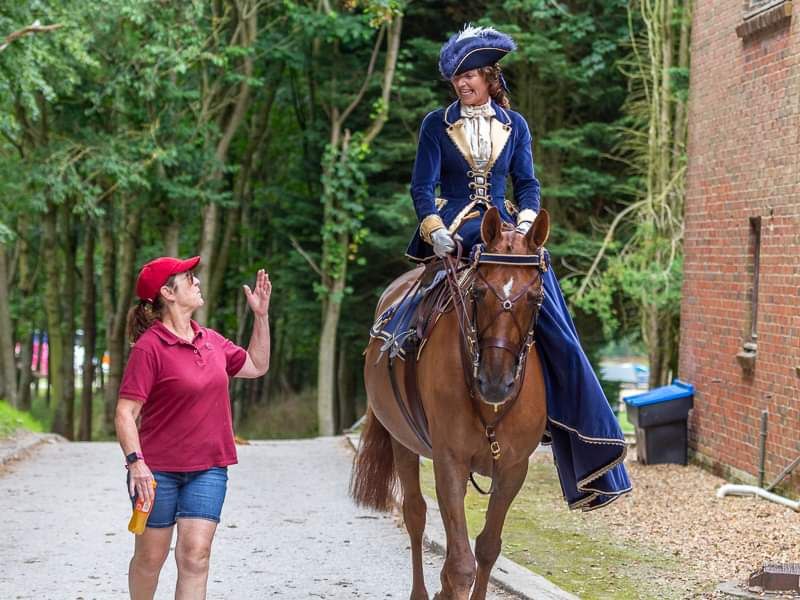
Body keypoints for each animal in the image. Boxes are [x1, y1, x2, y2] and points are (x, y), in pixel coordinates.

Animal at [354, 207, 552, 600]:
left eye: (536, 298)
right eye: (478, 291)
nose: (495, 382)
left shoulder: (513, 470)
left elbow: (487, 548)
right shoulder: (450, 461)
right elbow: (460, 565)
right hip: (402, 441)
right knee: (415, 514)